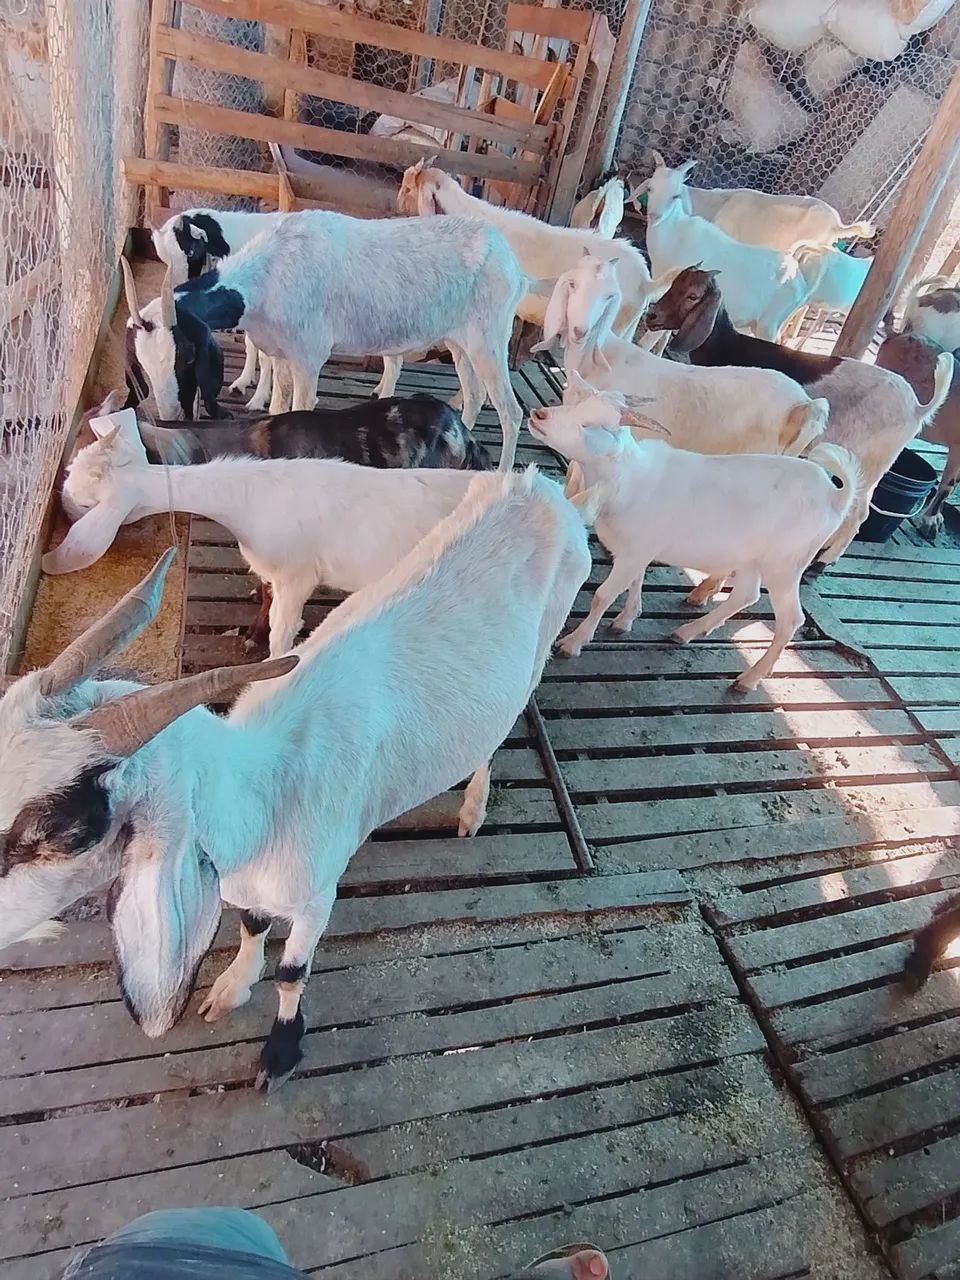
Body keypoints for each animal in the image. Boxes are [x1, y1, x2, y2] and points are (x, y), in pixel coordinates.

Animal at [0, 469, 592, 1090]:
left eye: (63, 830)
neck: (269, 788)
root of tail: (540, 485)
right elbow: (253, 923)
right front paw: (233, 987)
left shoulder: (316, 895)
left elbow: (292, 972)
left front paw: (280, 1054)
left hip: (540, 647)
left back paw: (473, 807)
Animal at [122, 209, 527, 470]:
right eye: (141, 363)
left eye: (189, 356)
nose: (171, 415)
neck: (268, 275)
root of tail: (514, 265)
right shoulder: (280, 354)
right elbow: (276, 407)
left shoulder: (308, 359)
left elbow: (300, 407)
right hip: (461, 342)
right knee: (474, 395)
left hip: (489, 337)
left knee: (511, 410)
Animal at [528, 388, 865, 690]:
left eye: (591, 425)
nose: (539, 415)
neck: (628, 478)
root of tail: (835, 496)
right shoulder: (637, 549)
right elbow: (636, 582)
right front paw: (626, 620)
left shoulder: (635, 550)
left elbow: (603, 594)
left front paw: (573, 643)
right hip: (751, 558)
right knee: (746, 595)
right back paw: (688, 631)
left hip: (785, 564)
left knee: (790, 619)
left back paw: (749, 679)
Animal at [639, 155, 825, 341]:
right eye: (650, 188)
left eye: (676, 195)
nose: (655, 216)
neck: (675, 235)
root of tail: (800, 282)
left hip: (769, 325)